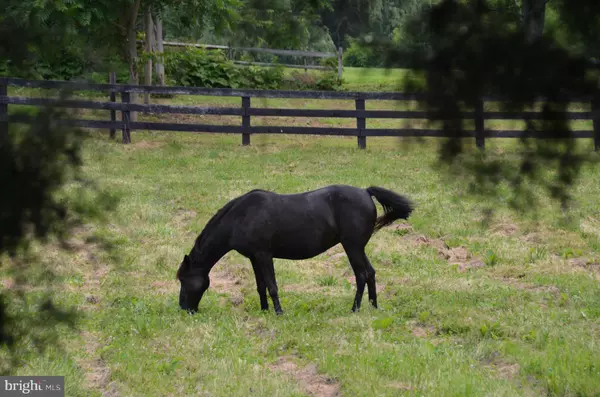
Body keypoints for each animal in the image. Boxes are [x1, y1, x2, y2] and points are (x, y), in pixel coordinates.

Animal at [176, 184, 414, 314]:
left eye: (184, 280)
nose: (185, 309)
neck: (241, 216)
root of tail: (365, 192)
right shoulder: (254, 257)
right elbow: (260, 286)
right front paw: (264, 311)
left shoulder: (264, 255)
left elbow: (272, 286)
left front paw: (279, 312)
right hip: (358, 248)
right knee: (371, 273)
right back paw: (373, 307)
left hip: (352, 247)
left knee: (362, 275)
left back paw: (354, 309)